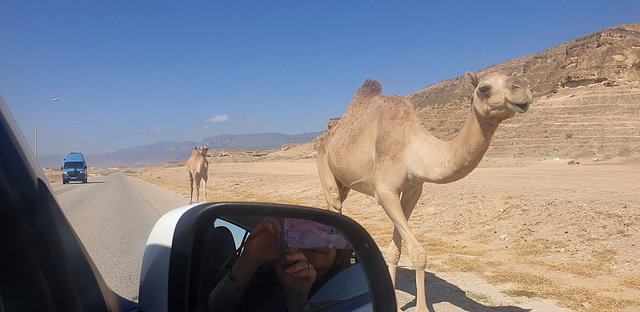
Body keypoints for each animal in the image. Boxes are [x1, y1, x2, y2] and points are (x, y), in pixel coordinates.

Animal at [318, 72, 532, 310]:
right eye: (484, 88)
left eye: (521, 81)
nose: (522, 88)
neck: (412, 149)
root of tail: (326, 137)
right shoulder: (385, 192)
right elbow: (419, 253)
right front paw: (420, 307)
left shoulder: (413, 190)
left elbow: (395, 250)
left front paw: (393, 299)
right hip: (324, 163)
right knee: (334, 203)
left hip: (344, 183)